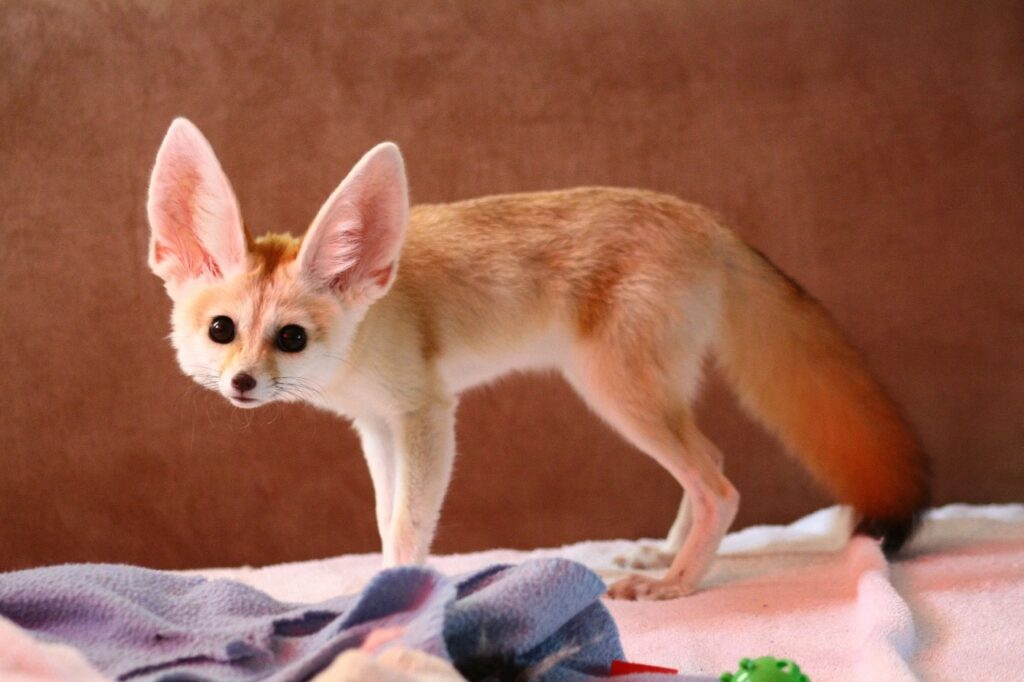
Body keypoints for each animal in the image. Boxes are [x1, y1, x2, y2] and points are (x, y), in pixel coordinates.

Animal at [146, 118, 929, 600]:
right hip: (648, 397)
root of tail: (706, 220)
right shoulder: (376, 426)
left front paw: (399, 598)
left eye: (291, 338)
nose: (243, 383)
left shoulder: (427, 415)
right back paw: (664, 556)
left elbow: (409, 523)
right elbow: (383, 515)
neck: (367, 325)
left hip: (617, 396)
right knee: (714, 461)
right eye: (222, 330)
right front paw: (380, 586)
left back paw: (675, 583)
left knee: (720, 486)